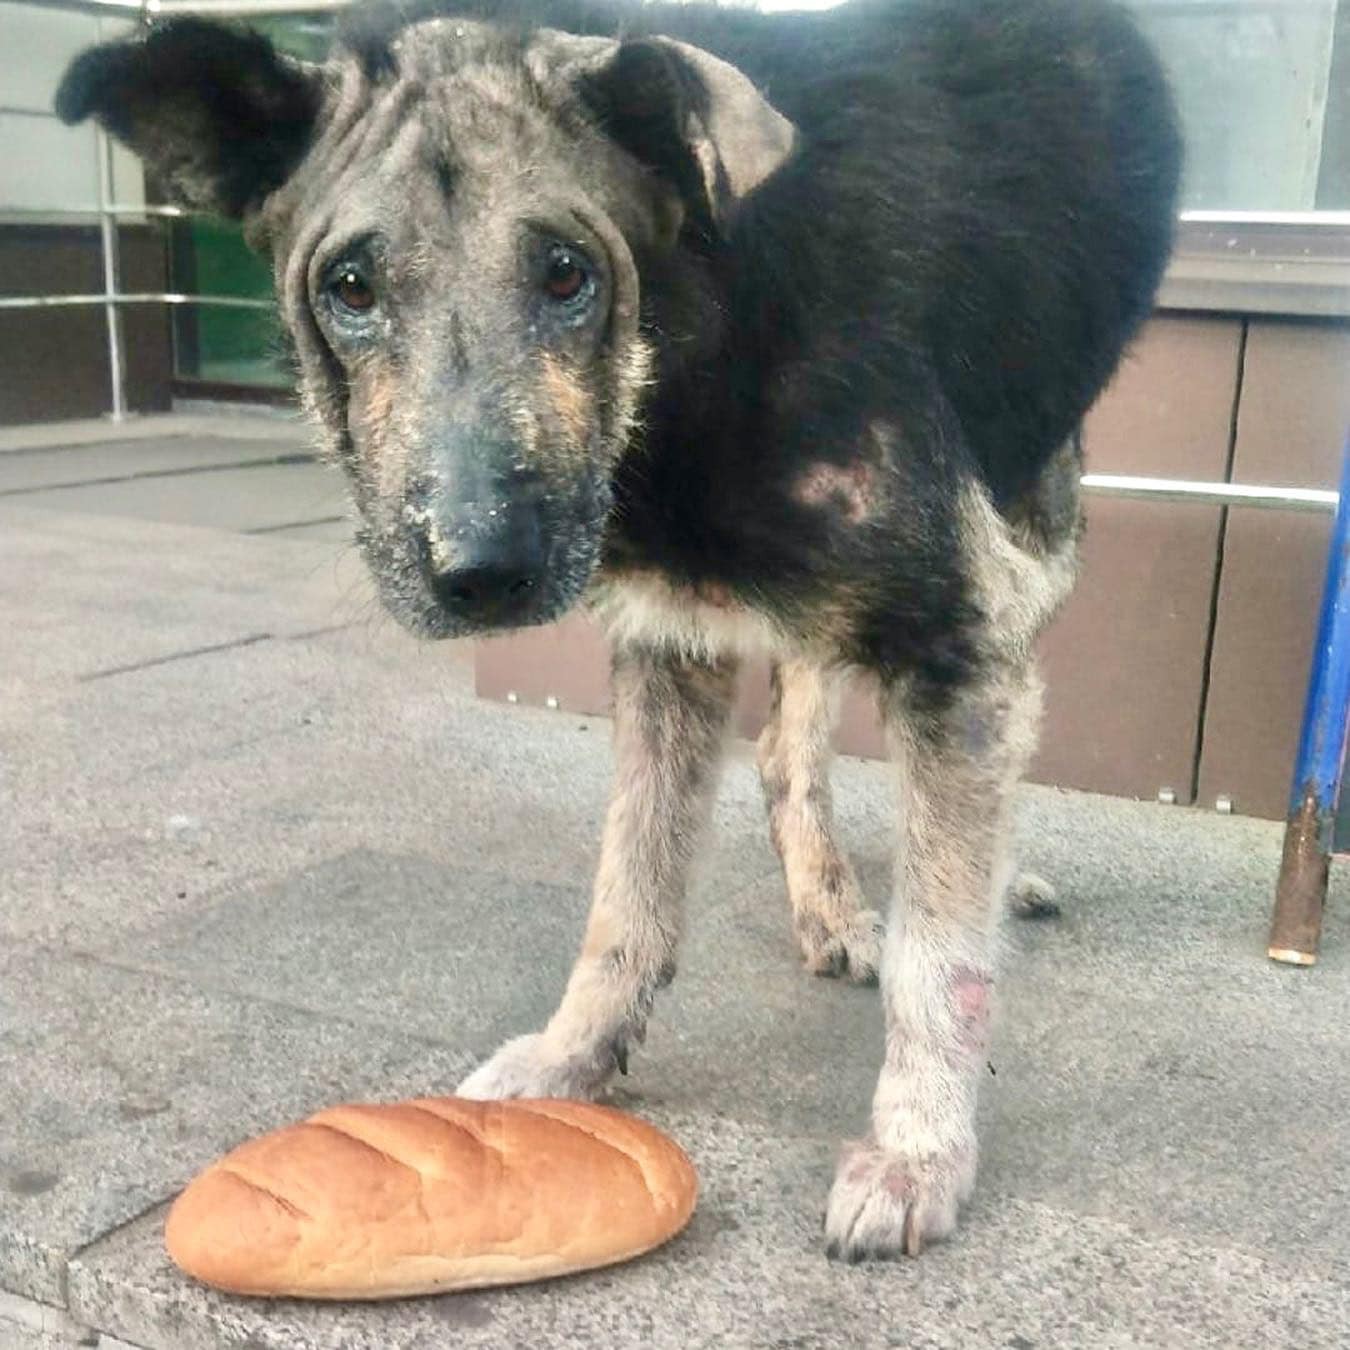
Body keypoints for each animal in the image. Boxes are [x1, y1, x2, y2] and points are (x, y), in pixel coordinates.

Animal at [60, 0, 1182, 1263]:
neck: (704, 329)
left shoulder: (957, 640)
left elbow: (940, 959)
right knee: (788, 745)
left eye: (567, 273)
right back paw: (834, 905)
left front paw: (917, 1154)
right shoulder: (667, 637)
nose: (481, 576)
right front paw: (577, 1060)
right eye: (349, 286)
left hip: (1040, 522)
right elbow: (627, 892)